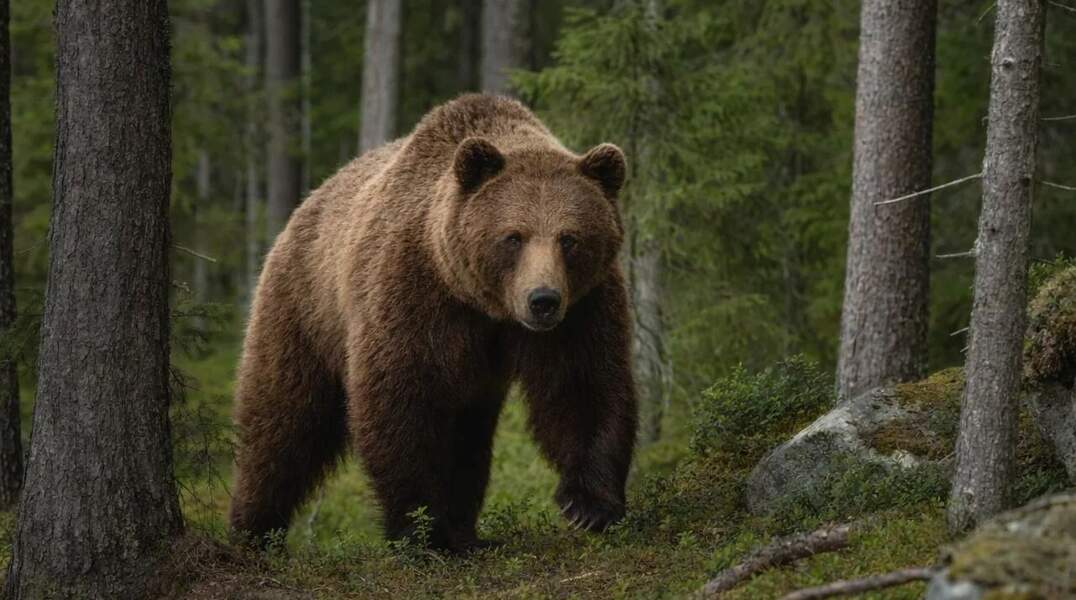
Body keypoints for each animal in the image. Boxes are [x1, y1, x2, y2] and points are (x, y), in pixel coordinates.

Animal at [229, 94, 638, 552]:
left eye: (569, 238)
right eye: (513, 236)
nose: (543, 301)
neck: (484, 305)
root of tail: (305, 206)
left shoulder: (582, 308)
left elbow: (584, 384)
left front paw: (590, 506)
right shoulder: (413, 294)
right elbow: (402, 401)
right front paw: (422, 530)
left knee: (468, 436)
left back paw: (467, 531)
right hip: (304, 311)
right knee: (283, 421)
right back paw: (254, 530)